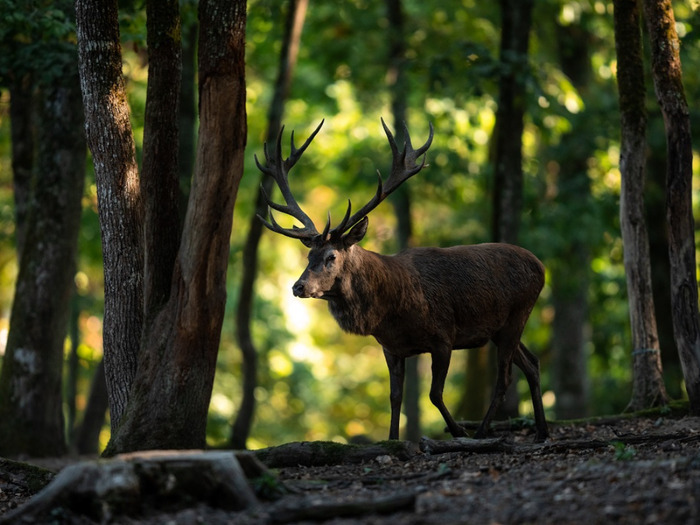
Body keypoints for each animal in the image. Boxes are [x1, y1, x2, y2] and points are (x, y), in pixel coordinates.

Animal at [256, 118, 549, 442]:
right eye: (309, 256)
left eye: (331, 256)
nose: (298, 286)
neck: (392, 311)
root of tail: (541, 266)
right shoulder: (391, 347)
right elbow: (395, 397)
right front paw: (393, 439)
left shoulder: (443, 336)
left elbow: (434, 394)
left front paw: (457, 429)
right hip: (502, 327)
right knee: (532, 364)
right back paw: (542, 431)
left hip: (519, 313)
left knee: (505, 377)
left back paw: (483, 430)